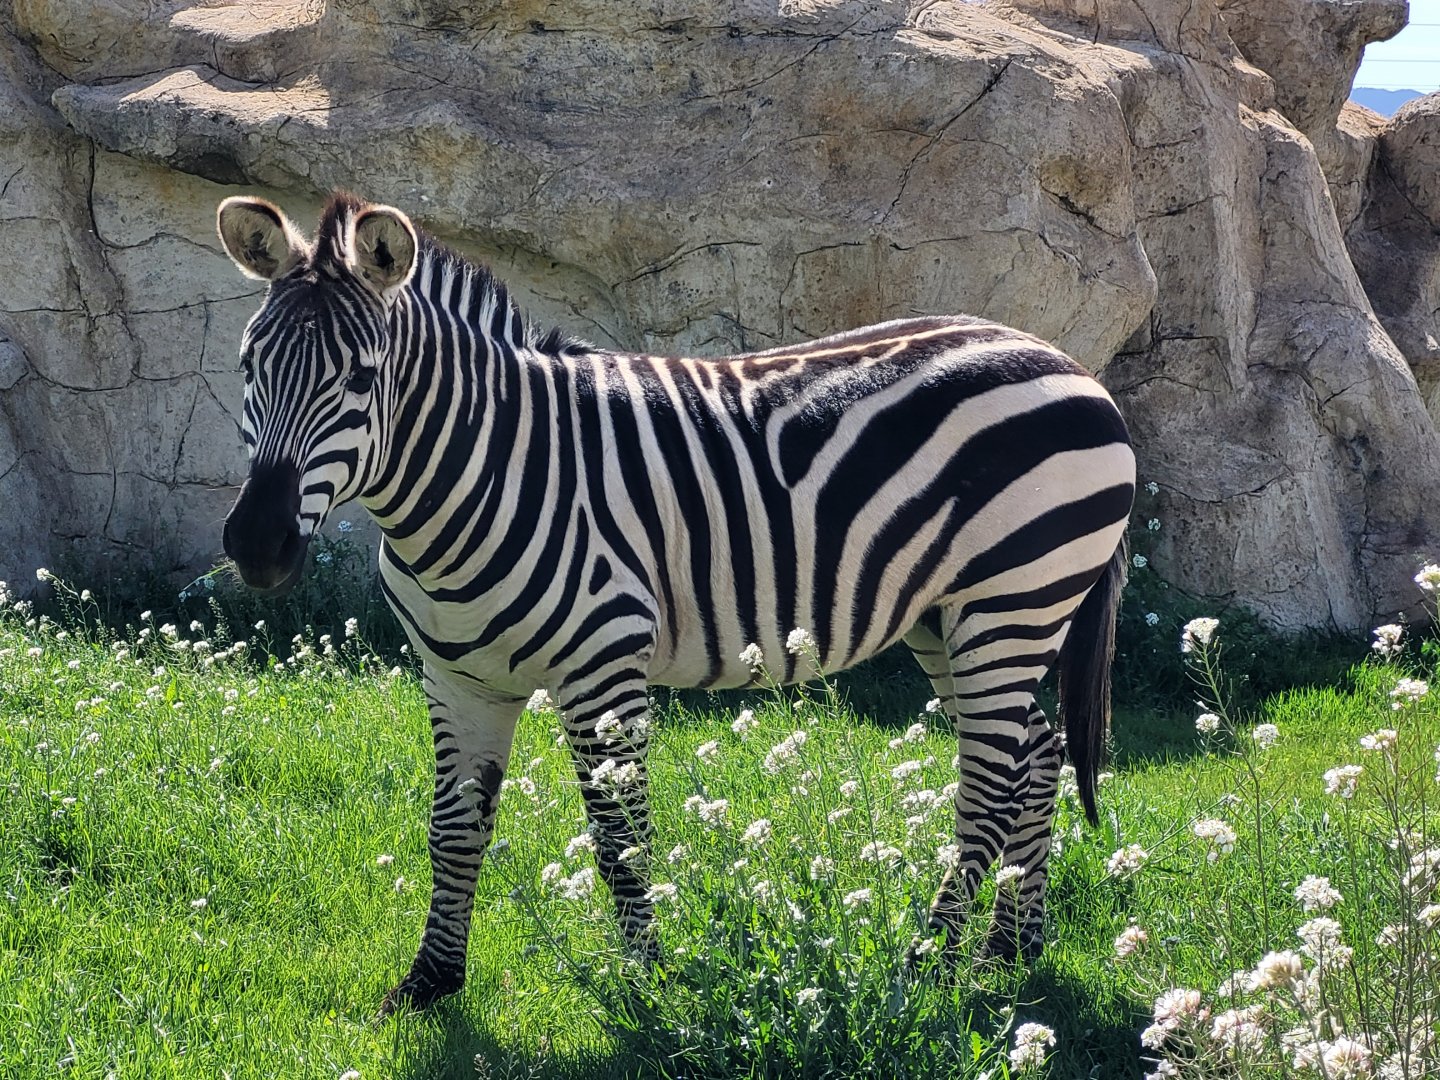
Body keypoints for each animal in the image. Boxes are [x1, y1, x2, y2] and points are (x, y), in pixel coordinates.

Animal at [215, 192, 1135, 1013]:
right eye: (248, 365)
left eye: (362, 379)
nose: (257, 545)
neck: (484, 473)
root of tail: (1066, 362)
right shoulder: (458, 679)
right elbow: (453, 827)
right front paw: (430, 983)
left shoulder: (602, 668)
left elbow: (621, 841)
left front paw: (648, 990)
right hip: (949, 618)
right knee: (1036, 755)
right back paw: (1009, 951)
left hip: (1013, 599)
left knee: (989, 784)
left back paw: (928, 966)